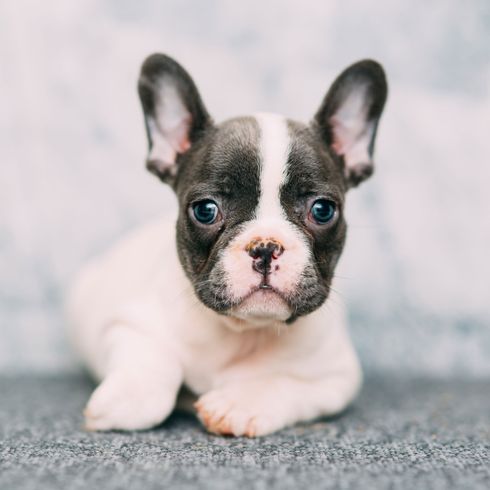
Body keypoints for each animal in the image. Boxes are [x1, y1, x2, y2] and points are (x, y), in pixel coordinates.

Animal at [67, 53, 386, 436]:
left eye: (323, 210)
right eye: (205, 210)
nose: (265, 247)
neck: (244, 331)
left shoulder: (337, 377)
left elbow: (286, 383)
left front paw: (239, 403)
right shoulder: (126, 324)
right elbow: (153, 362)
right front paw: (128, 397)